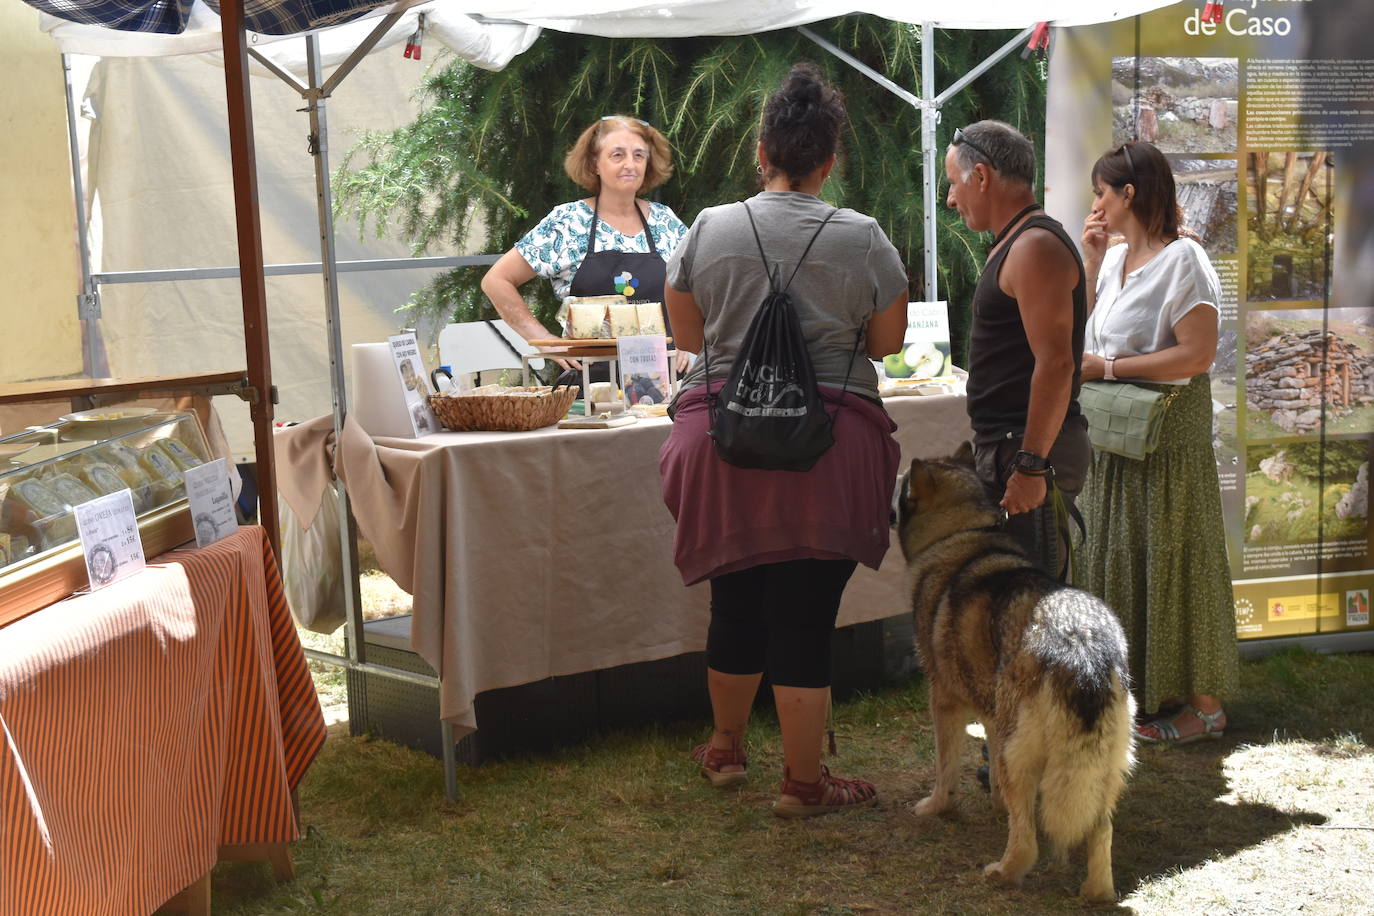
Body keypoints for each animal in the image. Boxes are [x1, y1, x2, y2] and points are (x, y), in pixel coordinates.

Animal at [895, 444, 1132, 900]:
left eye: (897, 488)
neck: (961, 532)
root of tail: (1081, 642)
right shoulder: (989, 712)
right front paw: (994, 805)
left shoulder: (943, 702)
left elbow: (944, 767)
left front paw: (936, 807)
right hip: (1104, 769)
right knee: (1102, 831)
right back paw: (1096, 892)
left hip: (1017, 754)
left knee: (1027, 842)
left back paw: (1003, 871)